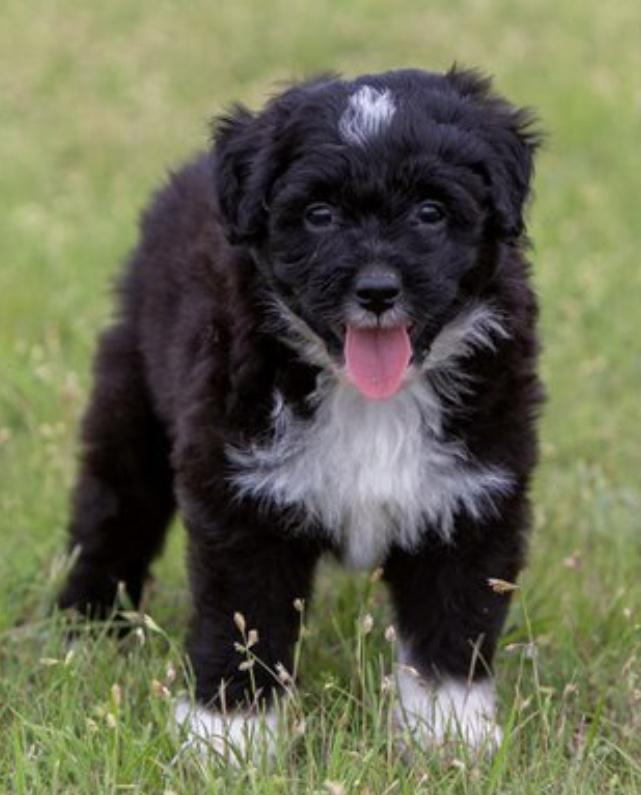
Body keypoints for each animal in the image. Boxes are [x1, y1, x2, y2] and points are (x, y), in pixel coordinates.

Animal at [58, 67, 542, 758]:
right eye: (319, 214)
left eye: (431, 212)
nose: (377, 290)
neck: (371, 399)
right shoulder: (244, 498)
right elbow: (246, 619)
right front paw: (228, 734)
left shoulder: (473, 497)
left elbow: (453, 622)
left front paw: (450, 733)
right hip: (133, 398)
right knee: (115, 507)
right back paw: (88, 625)